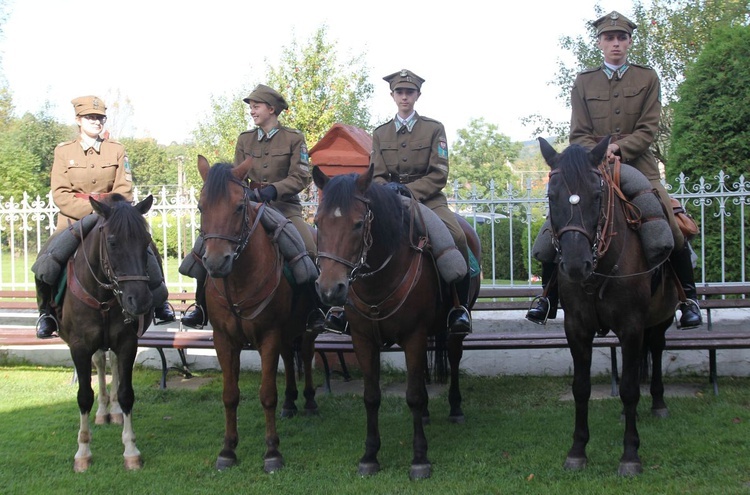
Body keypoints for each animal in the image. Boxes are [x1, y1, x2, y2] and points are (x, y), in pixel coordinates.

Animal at [59, 194, 157, 472]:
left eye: (146, 240)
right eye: (112, 242)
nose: (140, 300)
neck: (102, 297)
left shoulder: (127, 343)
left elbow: (126, 393)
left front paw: (131, 450)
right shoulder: (79, 348)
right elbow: (84, 396)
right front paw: (82, 453)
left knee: (110, 363)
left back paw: (111, 410)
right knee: (100, 364)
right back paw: (103, 411)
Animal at [197, 155, 318, 472]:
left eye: (240, 206)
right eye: (201, 207)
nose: (216, 262)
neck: (239, 281)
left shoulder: (269, 335)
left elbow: (267, 394)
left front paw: (272, 452)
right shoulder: (224, 339)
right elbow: (230, 395)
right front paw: (228, 450)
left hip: (306, 329)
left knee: (306, 355)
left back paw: (309, 401)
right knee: (289, 358)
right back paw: (290, 402)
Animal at [314, 166, 484, 480]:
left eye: (358, 224)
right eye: (318, 222)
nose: (330, 289)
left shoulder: (413, 337)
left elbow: (413, 395)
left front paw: (419, 458)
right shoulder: (363, 340)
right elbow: (371, 396)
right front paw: (369, 456)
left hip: (455, 328)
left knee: (454, 359)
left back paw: (455, 409)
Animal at [540, 137, 680, 476]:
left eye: (597, 194)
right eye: (551, 196)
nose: (575, 264)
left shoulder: (631, 327)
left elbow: (628, 388)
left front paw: (630, 455)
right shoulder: (576, 328)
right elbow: (581, 387)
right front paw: (577, 450)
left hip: (661, 317)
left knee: (656, 349)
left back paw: (658, 403)